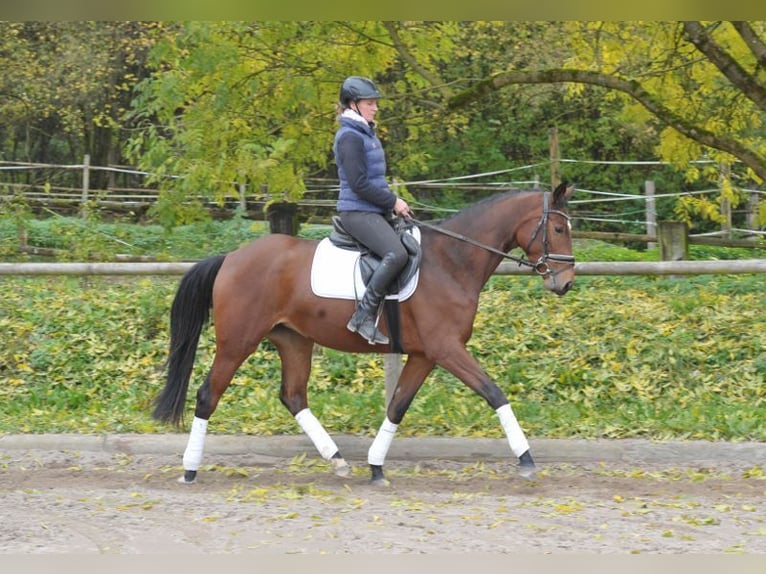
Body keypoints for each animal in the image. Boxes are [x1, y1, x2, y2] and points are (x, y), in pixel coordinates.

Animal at [153, 183, 576, 486]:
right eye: (557, 228)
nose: (566, 282)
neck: (451, 262)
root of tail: (231, 257)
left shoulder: (425, 354)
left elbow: (398, 406)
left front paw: (376, 466)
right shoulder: (447, 349)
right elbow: (494, 393)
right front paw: (526, 459)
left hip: (294, 341)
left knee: (293, 396)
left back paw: (338, 461)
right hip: (237, 342)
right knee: (208, 395)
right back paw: (190, 470)